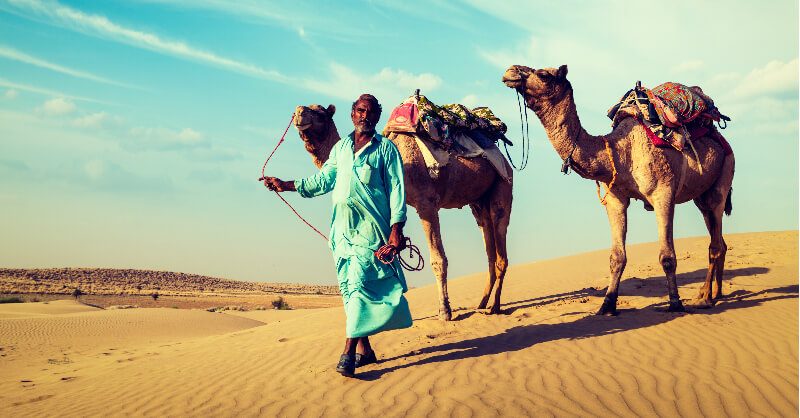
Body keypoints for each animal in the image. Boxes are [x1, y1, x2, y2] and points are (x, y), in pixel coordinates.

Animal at [292, 104, 513, 320]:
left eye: (320, 113)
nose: (299, 113)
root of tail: (503, 158)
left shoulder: (427, 203)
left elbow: (438, 259)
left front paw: (444, 311)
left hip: (503, 183)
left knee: (500, 238)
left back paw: (495, 306)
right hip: (478, 202)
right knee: (488, 244)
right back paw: (482, 303)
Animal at [502, 65, 735, 314]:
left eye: (544, 74)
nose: (510, 71)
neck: (619, 151)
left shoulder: (663, 193)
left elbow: (667, 256)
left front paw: (675, 303)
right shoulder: (615, 198)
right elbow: (617, 257)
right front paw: (607, 304)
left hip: (723, 177)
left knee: (715, 242)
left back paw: (705, 298)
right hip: (702, 197)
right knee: (719, 240)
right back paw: (713, 293)